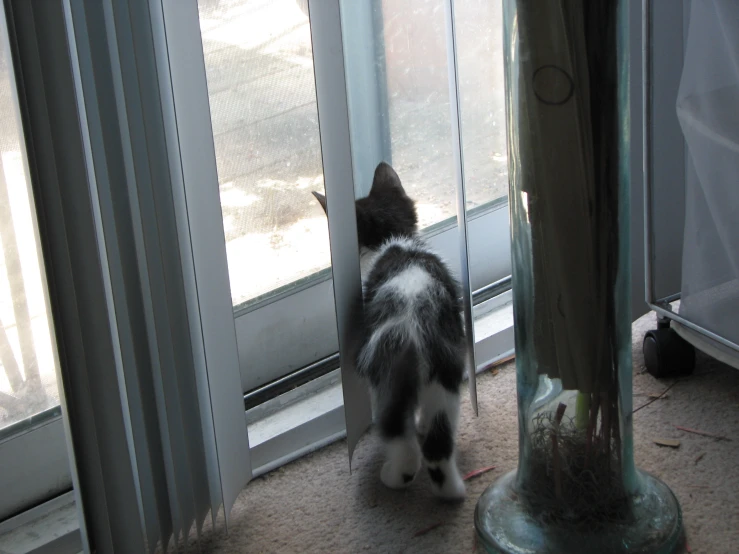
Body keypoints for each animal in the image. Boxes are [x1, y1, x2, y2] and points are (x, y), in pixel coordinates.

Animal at [314, 162, 466, 498]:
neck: (392, 240)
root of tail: (416, 328)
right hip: (447, 369)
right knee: (439, 439)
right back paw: (451, 490)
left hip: (385, 374)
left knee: (401, 437)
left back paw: (395, 476)